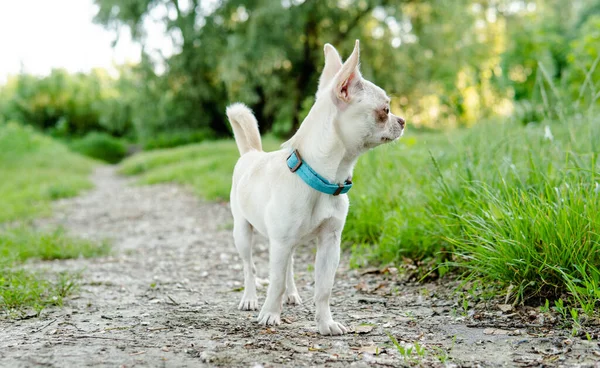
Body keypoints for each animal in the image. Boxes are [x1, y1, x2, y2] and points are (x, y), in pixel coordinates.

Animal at [227, 41, 406, 336]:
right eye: (386, 110)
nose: (402, 121)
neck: (319, 178)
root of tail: (252, 153)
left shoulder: (329, 243)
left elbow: (323, 287)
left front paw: (325, 323)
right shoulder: (280, 241)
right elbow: (274, 281)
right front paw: (270, 313)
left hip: (287, 242)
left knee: (287, 267)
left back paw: (291, 294)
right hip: (242, 232)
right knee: (249, 266)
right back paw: (251, 298)